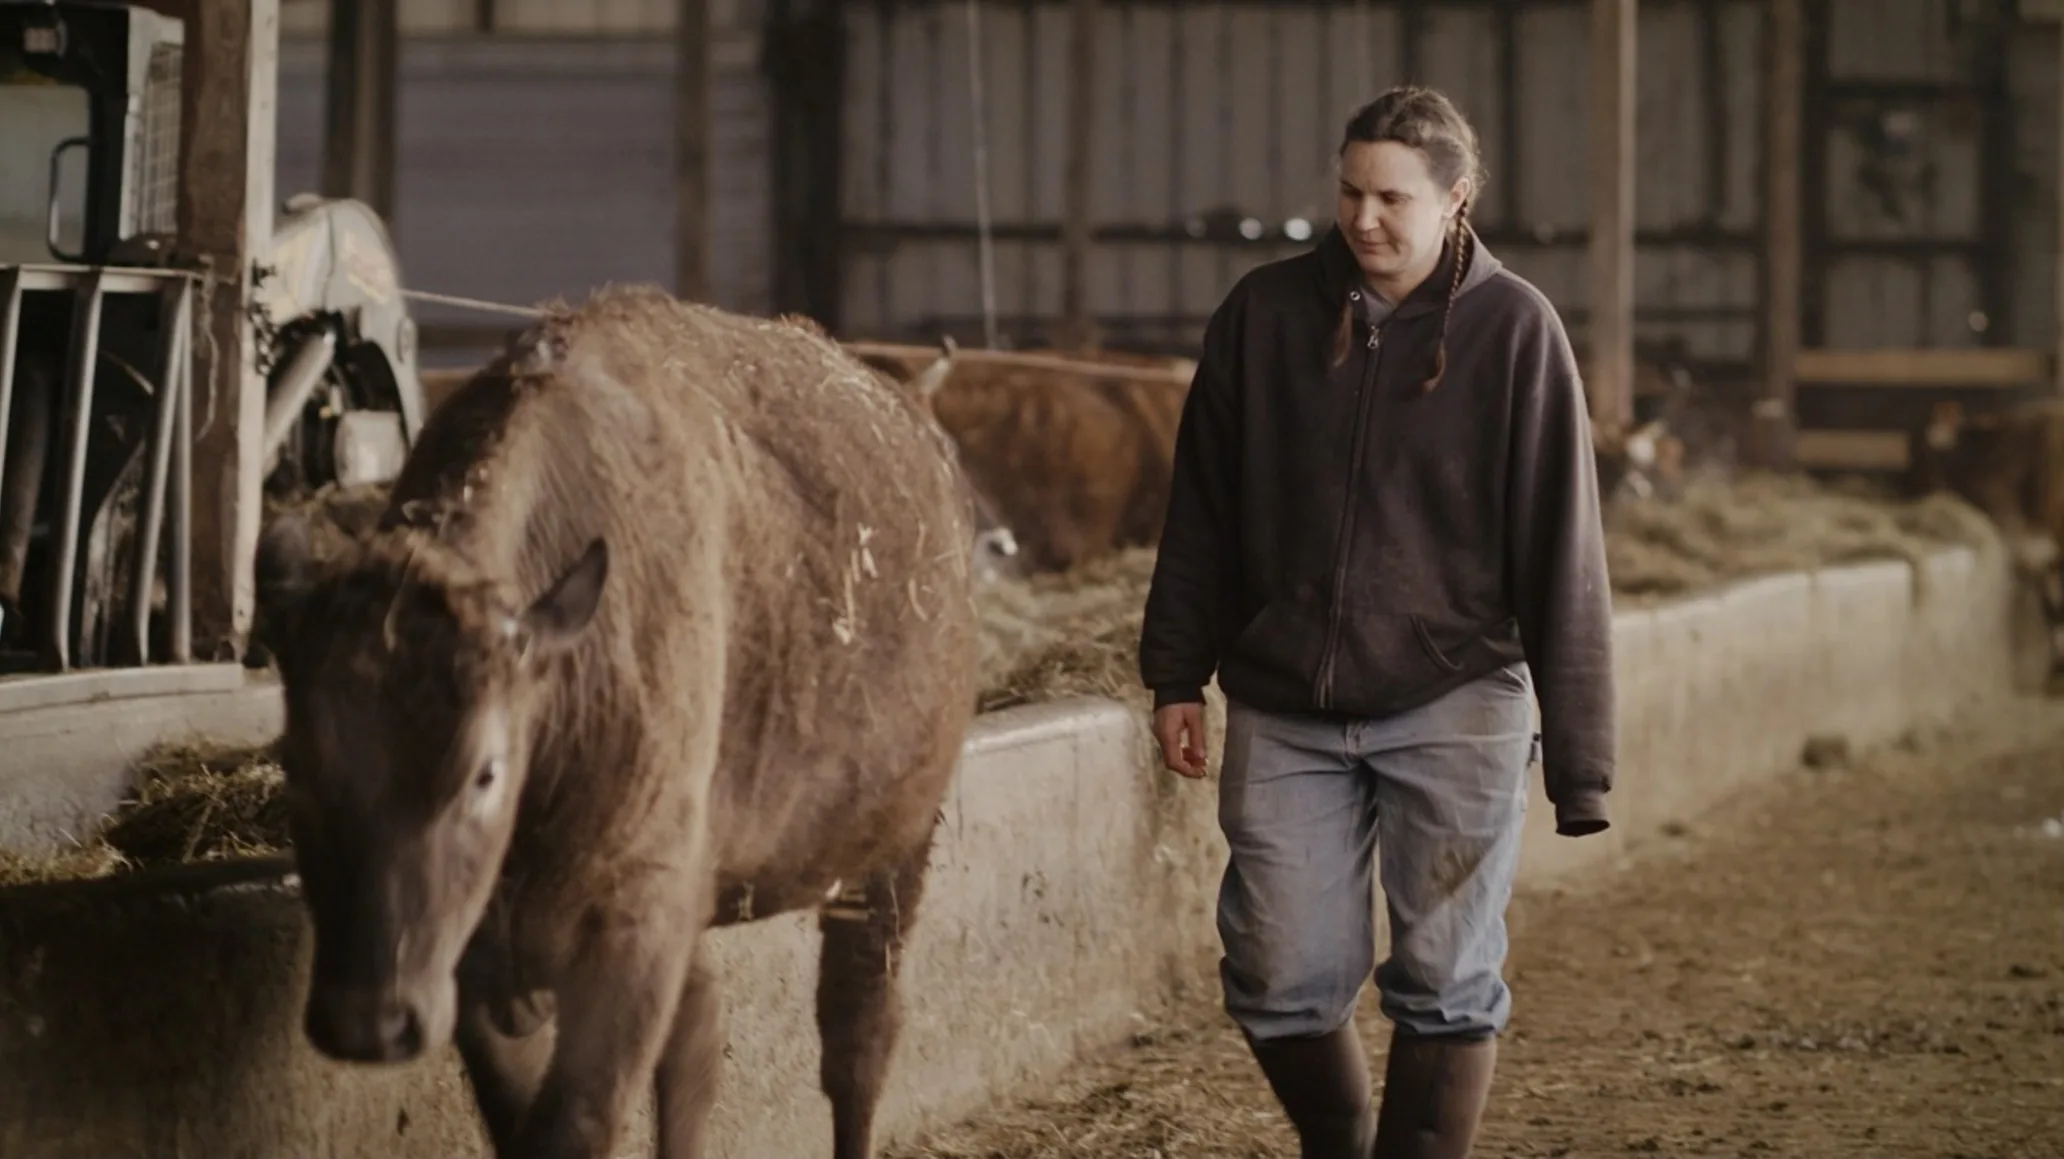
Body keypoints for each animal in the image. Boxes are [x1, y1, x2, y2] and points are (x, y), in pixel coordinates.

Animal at [251, 286, 982, 1154]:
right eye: (296, 765)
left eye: (485, 771)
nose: (370, 1023)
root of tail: (911, 414)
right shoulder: (484, 963)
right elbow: (529, 1114)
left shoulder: (631, 934)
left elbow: (580, 1118)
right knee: (701, 1037)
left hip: (891, 856)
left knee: (859, 1038)